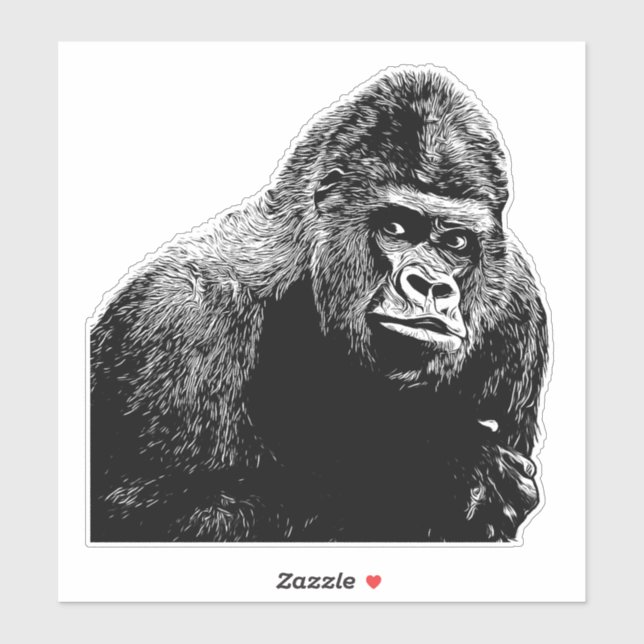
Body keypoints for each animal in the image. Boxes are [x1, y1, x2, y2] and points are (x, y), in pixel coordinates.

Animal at [90, 64, 550, 543]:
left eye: (456, 242)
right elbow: (156, 512)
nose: (429, 285)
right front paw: (432, 472)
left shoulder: (519, 307)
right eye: (396, 228)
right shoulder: (176, 316)